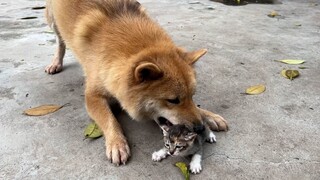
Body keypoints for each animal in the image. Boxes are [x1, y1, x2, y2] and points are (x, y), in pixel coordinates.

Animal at [45, 0, 228, 166]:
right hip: (52, 20)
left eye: (192, 96)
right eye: (173, 100)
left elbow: (197, 109)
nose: (200, 128)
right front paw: (117, 143)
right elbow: (109, 119)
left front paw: (210, 116)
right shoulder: (93, 97)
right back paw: (56, 62)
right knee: (60, 41)